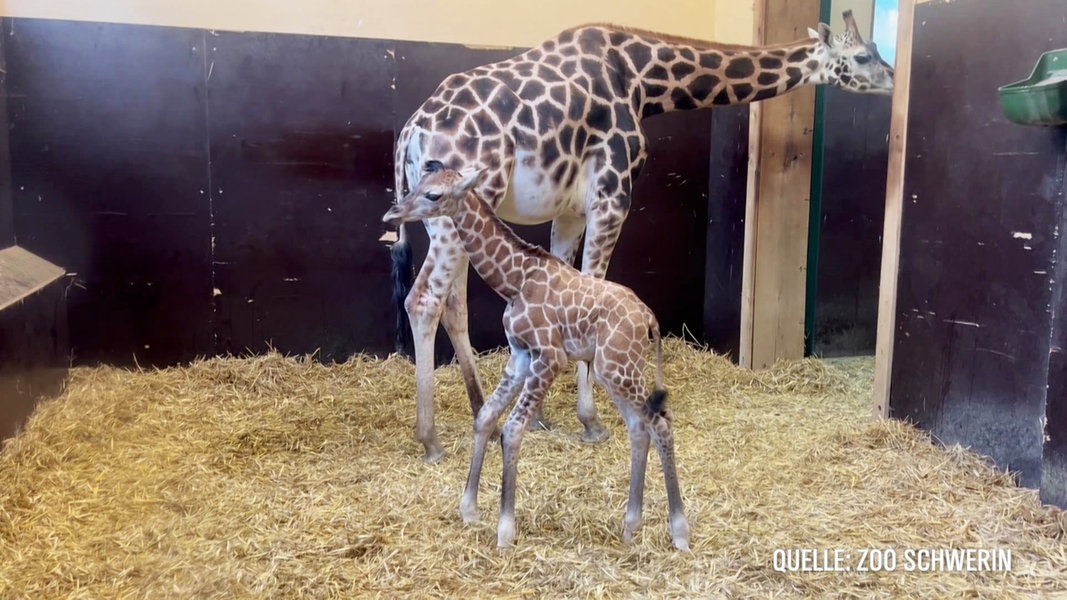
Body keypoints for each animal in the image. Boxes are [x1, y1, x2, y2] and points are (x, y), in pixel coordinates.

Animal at [384, 160, 691, 550]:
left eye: (433, 194)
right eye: (417, 183)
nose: (392, 214)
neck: (514, 282)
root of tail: (649, 318)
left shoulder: (549, 356)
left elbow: (513, 429)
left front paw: (504, 530)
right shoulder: (520, 356)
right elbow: (486, 417)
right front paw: (469, 510)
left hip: (618, 368)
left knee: (660, 423)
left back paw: (679, 532)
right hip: (614, 370)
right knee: (640, 427)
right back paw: (629, 527)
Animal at [388, 10, 887, 463]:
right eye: (864, 55)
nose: (892, 77)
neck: (642, 79)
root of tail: (410, 131)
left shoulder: (570, 210)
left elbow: (570, 291)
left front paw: (546, 415)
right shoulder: (612, 196)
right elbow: (595, 291)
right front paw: (590, 421)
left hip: (451, 218)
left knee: (453, 304)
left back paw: (480, 414)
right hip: (458, 207)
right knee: (423, 300)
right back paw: (430, 440)